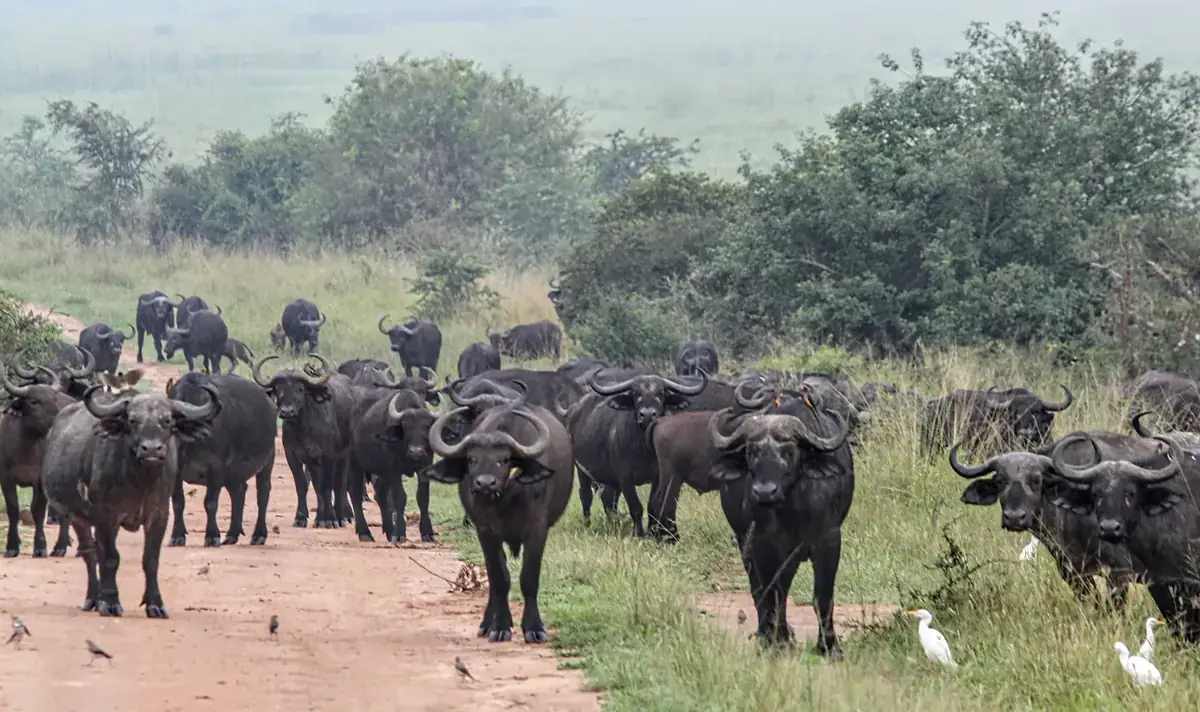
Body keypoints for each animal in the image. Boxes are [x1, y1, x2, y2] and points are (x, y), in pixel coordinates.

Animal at [42, 382, 221, 617]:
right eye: (133, 420)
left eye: (167, 421)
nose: (151, 449)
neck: (140, 481)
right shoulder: (106, 515)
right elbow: (110, 558)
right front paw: (109, 603)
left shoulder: (159, 515)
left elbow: (151, 559)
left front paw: (155, 604)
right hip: (76, 517)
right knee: (91, 555)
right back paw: (93, 598)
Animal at [166, 372, 277, 547]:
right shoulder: (176, 473)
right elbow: (178, 502)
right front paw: (177, 536)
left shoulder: (216, 469)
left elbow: (210, 503)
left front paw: (212, 536)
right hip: (233, 474)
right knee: (239, 492)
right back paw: (232, 534)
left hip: (267, 462)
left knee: (263, 494)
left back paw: (258, 535)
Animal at [423, 391, 573, 643]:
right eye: (472, 459)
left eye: (504, 459)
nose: (485, 483)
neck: (507, 500)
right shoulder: (486, 531)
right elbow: (500, 578)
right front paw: (500, 626)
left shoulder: (538, 529)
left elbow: (529, 577)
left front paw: (534, 627)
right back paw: (486, 624)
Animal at [706, 398, 854, 658]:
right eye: (752, 452)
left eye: (789, 452)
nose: (765, 492)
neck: (793, 509)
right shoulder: (764, 544)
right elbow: (772, 593)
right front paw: (777, 641)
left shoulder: (829, 541)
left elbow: (822, 595)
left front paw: (829, 646)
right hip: (744, 541)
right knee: (762, 590)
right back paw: (770, 633)